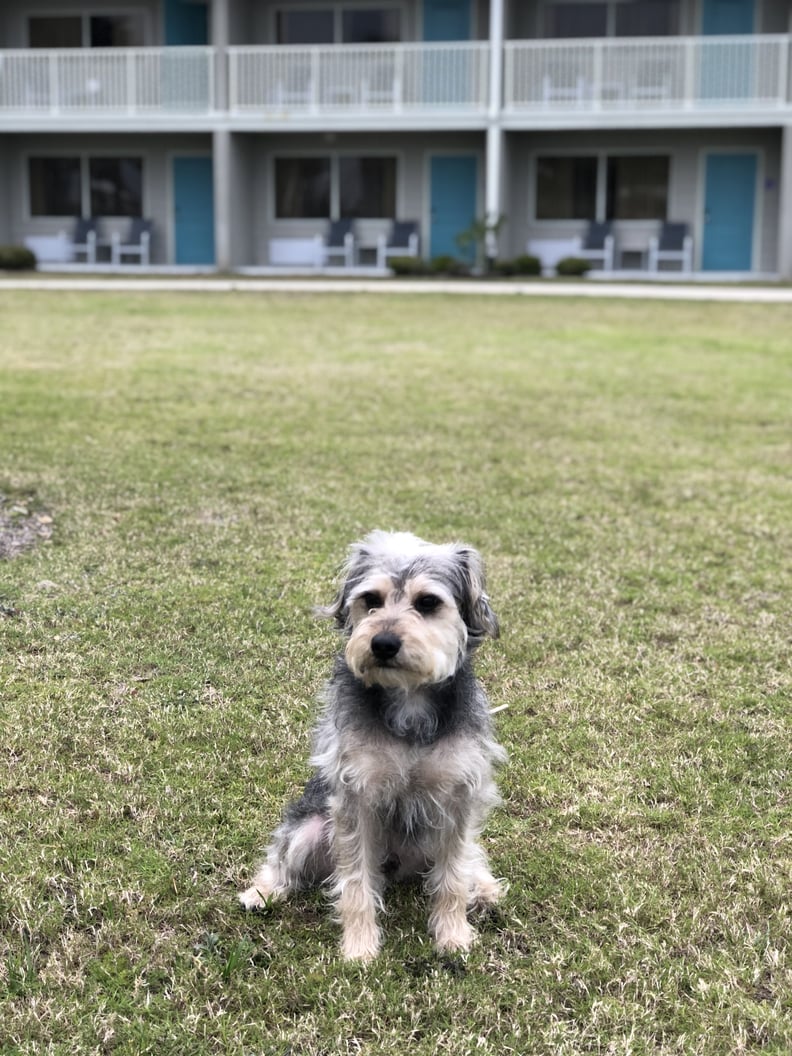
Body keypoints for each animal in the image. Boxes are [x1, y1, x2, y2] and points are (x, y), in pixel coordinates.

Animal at [238, 532, 504, 963]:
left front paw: (453, 936)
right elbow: (355, 882)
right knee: (282, 859)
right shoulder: (356, 797)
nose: (382, 643)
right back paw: (262, 891)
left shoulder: (458, 797)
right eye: (371, 599)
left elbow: (453, 875)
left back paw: (483, 886)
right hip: (311, 830)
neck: (409, 700)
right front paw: (359, 947)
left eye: (427, 602)